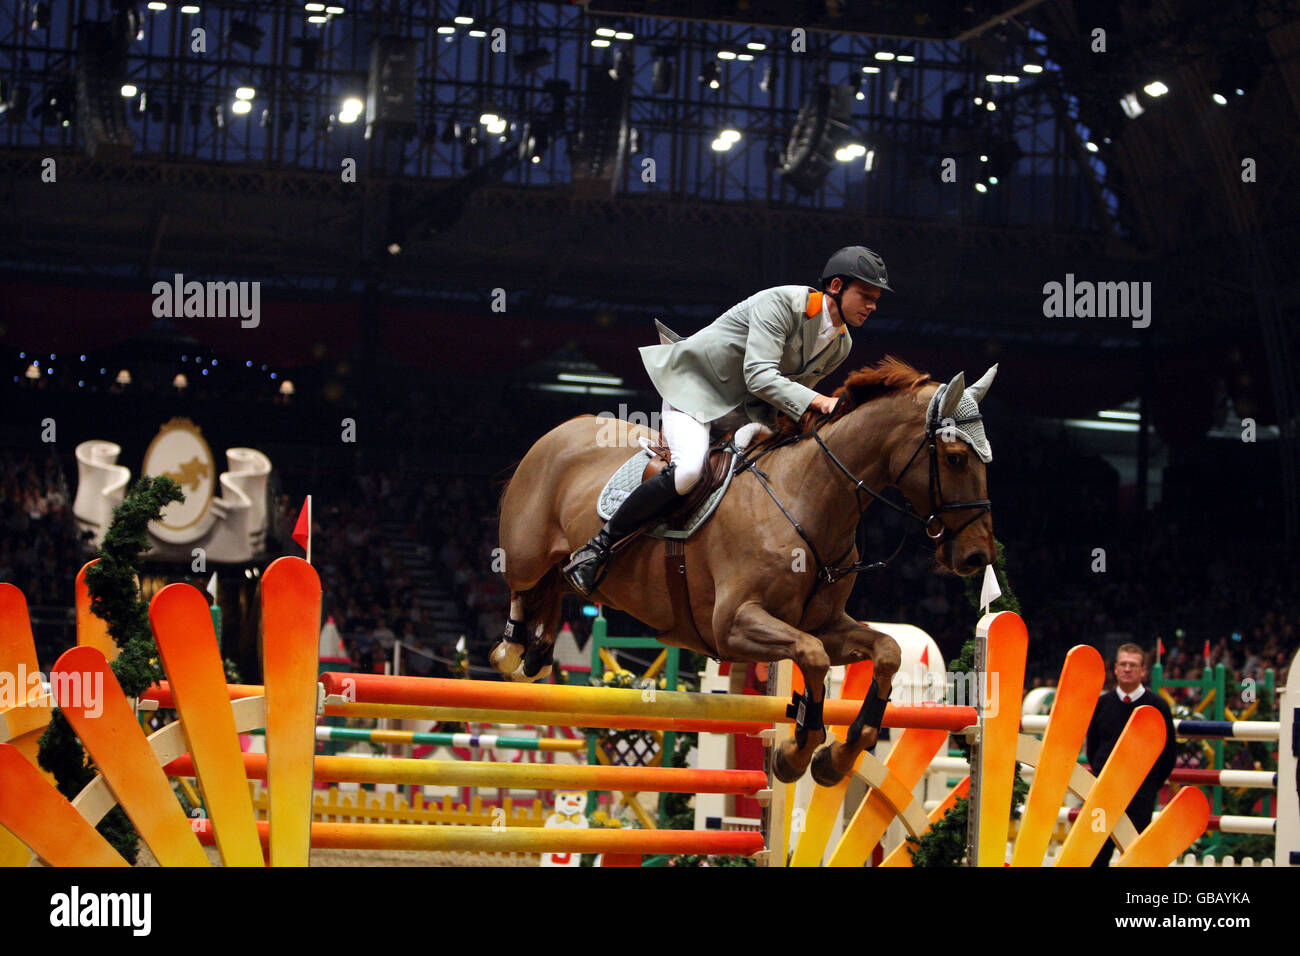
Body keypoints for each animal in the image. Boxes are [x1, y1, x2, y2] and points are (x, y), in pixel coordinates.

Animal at [488, 358, 993, 785]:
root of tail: (562, 430)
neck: (807, 498)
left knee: (555, 585)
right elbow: (812, 658)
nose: (977, 556)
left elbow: (886, 651)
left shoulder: (824, 624)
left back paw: (539, 652)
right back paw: (514, 650)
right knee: (524, 584)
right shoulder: (733, 625)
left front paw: (839, 756)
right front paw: (796, 753)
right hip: (526, 550)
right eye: (954, 457)